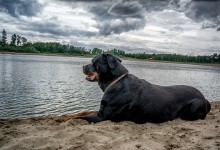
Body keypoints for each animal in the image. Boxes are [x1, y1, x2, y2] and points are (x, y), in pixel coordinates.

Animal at [81, 54, 211, 123]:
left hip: (194, 106)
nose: (82, 66)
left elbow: (80, 117)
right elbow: (82, 113)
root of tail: (204, 98)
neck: (116, 81)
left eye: (93, 61)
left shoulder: (102, 117)